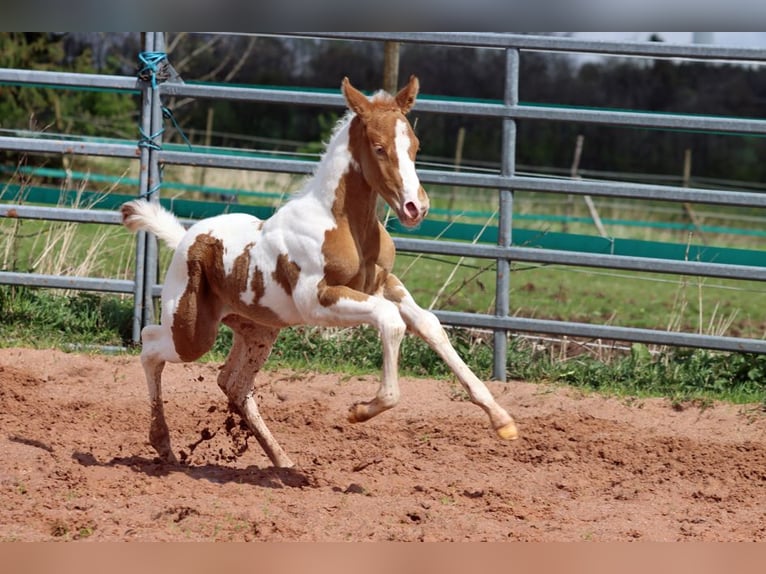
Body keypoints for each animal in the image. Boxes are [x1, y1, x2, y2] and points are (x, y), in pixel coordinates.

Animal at [120, 75, 518, 469]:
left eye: (415, 146)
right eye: (378, 148)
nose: (414, 208)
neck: (343, 223)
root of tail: (185, 238)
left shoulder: (383, 283)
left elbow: (429, 324)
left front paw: (502, 420)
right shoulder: (319, 300)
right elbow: (390, 321)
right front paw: (361, 410)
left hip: (258, 331)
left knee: (234, 384)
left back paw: (283, 461)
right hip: (192, 332)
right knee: (151, 345)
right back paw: (164, 445)